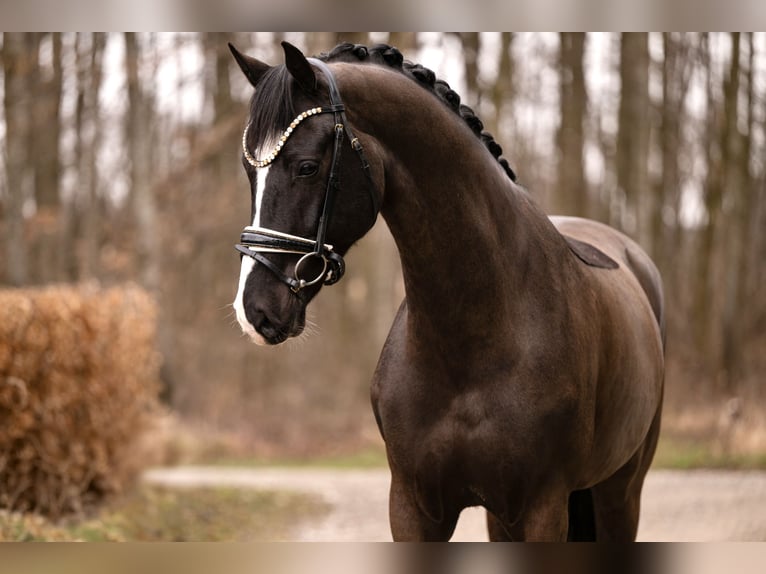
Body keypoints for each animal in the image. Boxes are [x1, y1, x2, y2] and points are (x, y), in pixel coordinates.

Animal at [230, 41, 665, 541]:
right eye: (249, 171)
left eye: (306, 167)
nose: (254, 310)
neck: (473, 341)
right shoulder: (413, 507)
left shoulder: (544, 508)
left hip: (620, 492)